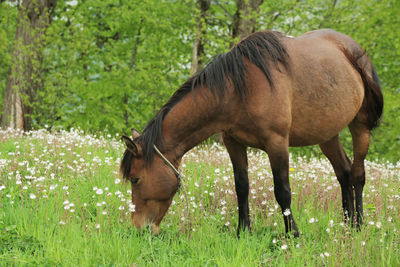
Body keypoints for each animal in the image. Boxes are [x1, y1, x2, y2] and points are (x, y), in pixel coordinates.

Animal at [120, 28, 382, 237]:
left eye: (135, 179)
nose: (139, 228)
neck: (240, 89)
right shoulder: (233, 143)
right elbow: (242, 187)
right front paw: (243, 230)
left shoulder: (277, 143)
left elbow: (282, 191)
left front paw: (292, 235)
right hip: (327, 134)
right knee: (344, 172)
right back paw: (346, 225)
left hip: (359, 126)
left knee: (357, 175)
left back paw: (359, 226)